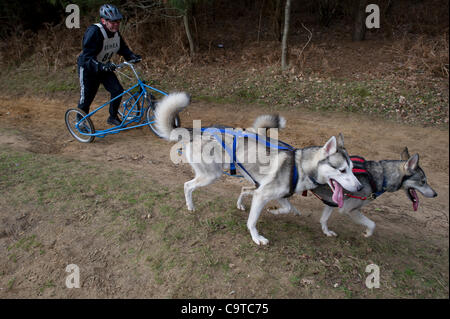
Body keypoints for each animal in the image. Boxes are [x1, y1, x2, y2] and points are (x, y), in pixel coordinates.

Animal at [155, 92, 362, 245]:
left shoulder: (276, 193)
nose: (360, 187)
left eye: (352, 168)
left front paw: (277, 211)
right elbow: (252, 221)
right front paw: (256, 237)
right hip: (210, 176)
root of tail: (196, 131)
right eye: (342, 170)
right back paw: (190, 206)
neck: (299, 167)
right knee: (187, 186)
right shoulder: (261, 194)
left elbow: (288, 207)